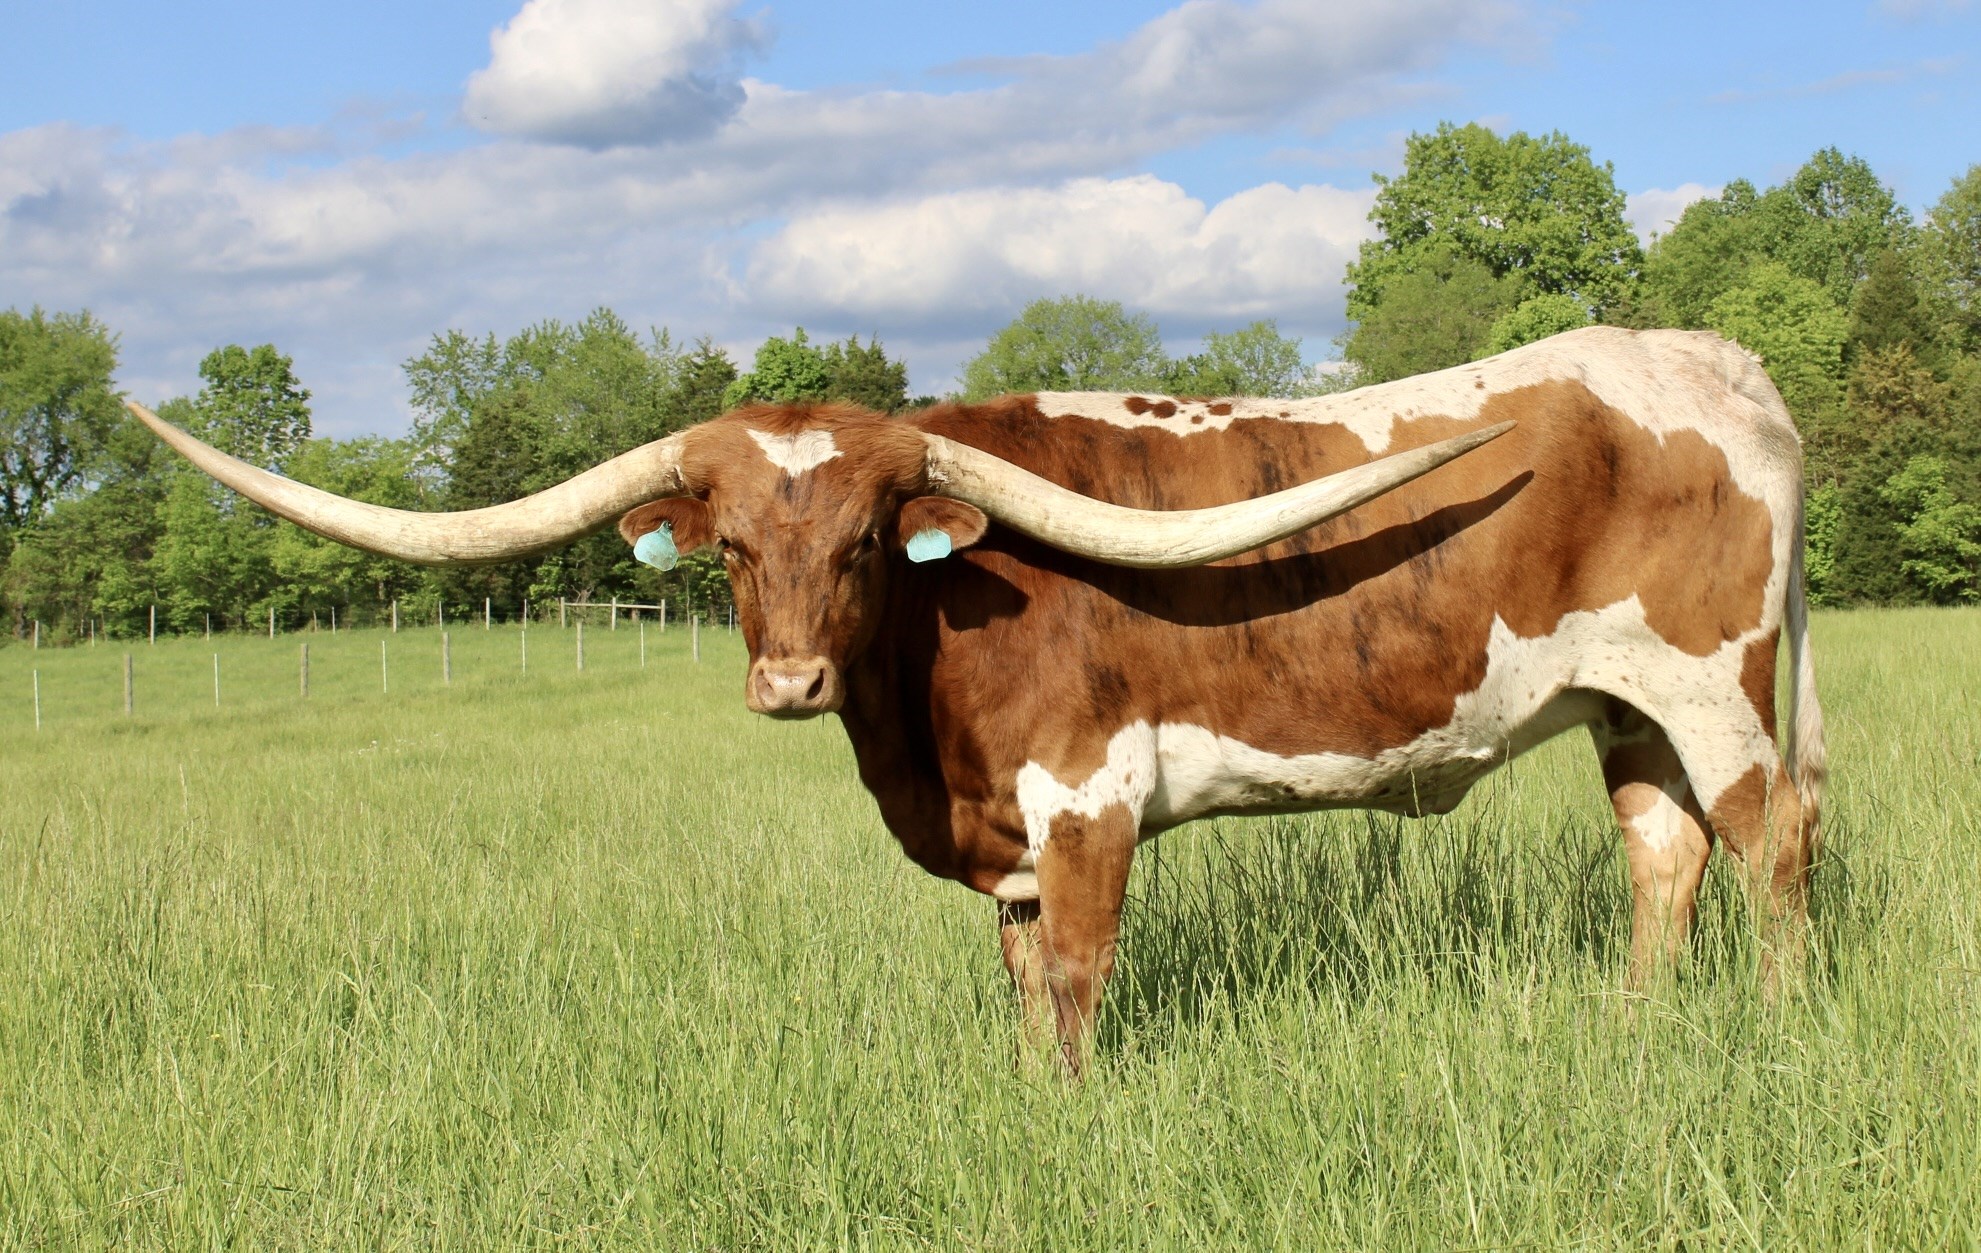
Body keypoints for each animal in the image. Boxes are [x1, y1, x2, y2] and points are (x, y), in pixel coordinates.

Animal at [130, 325, 1824, 1073]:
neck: (922, 723)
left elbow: (1073, 978)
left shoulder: (1084, 800)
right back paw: (1634, 1028)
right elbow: (1018, 984)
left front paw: (1067, 1115)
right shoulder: (1001, 839)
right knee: (1664, 851)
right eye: (730, 548)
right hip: (1625, 705)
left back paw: (1777, 1028)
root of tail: (1709, 359)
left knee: (1771, 843)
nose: (789, 679)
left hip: (1713, 685)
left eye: (868, 541)